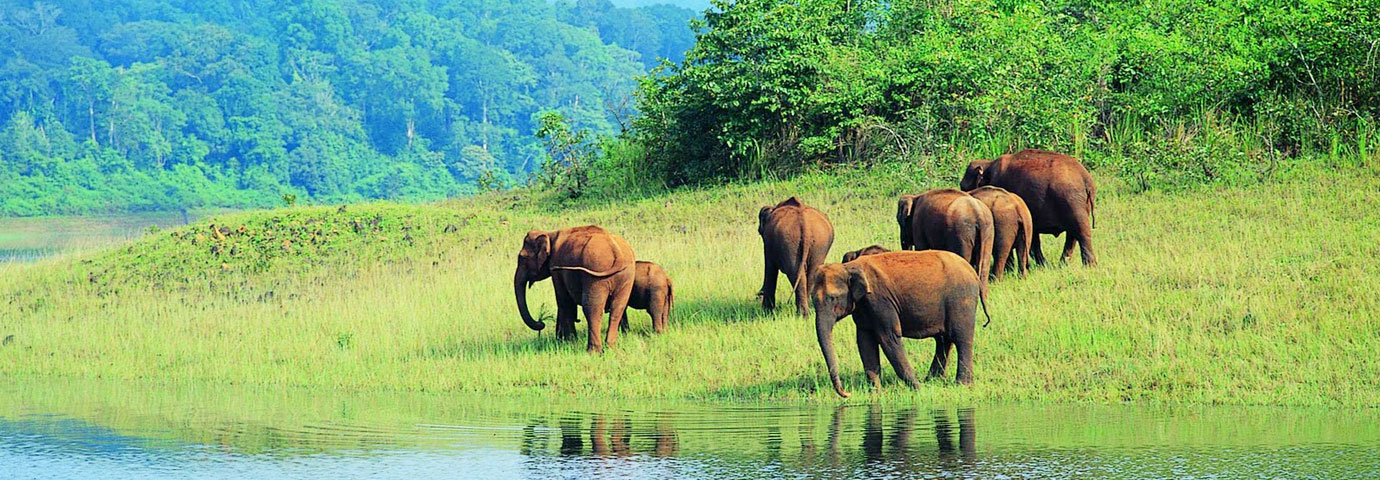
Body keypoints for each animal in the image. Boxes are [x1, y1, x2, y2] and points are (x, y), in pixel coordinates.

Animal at [518, 224, 634, 353]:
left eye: (521, 257)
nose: (541, 322)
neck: (550, 234)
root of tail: (617, 252)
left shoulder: (555, 267)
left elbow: (563, 301)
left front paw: (569, 342)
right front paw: (563, 341)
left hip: (596, 274)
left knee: (592, 309)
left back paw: (593, 352)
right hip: (626, 276)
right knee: (618, 308)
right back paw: (610, 348)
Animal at [805, 246, 993, 397]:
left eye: (833, 298)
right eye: (813, 298)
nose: (846, 394)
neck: (848, 267)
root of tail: (973, 273)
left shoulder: (880, 301)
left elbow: (889, 338)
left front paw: (918, 389)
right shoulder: (863, 307)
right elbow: (865, 341)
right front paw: (876, 393)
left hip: (961, 299)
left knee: (961, 338)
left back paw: (962, 385)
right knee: (944, 340)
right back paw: (932, 380)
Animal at [960, 148, 1098, 264]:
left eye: (963, 186)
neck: (988, 164)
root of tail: (1087, 179)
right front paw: (1043, 265)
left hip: (1072, 202)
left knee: (1081, 232)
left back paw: (1089, 266)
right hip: (1077, 203)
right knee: (1072, 235)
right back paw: (1062, 265)